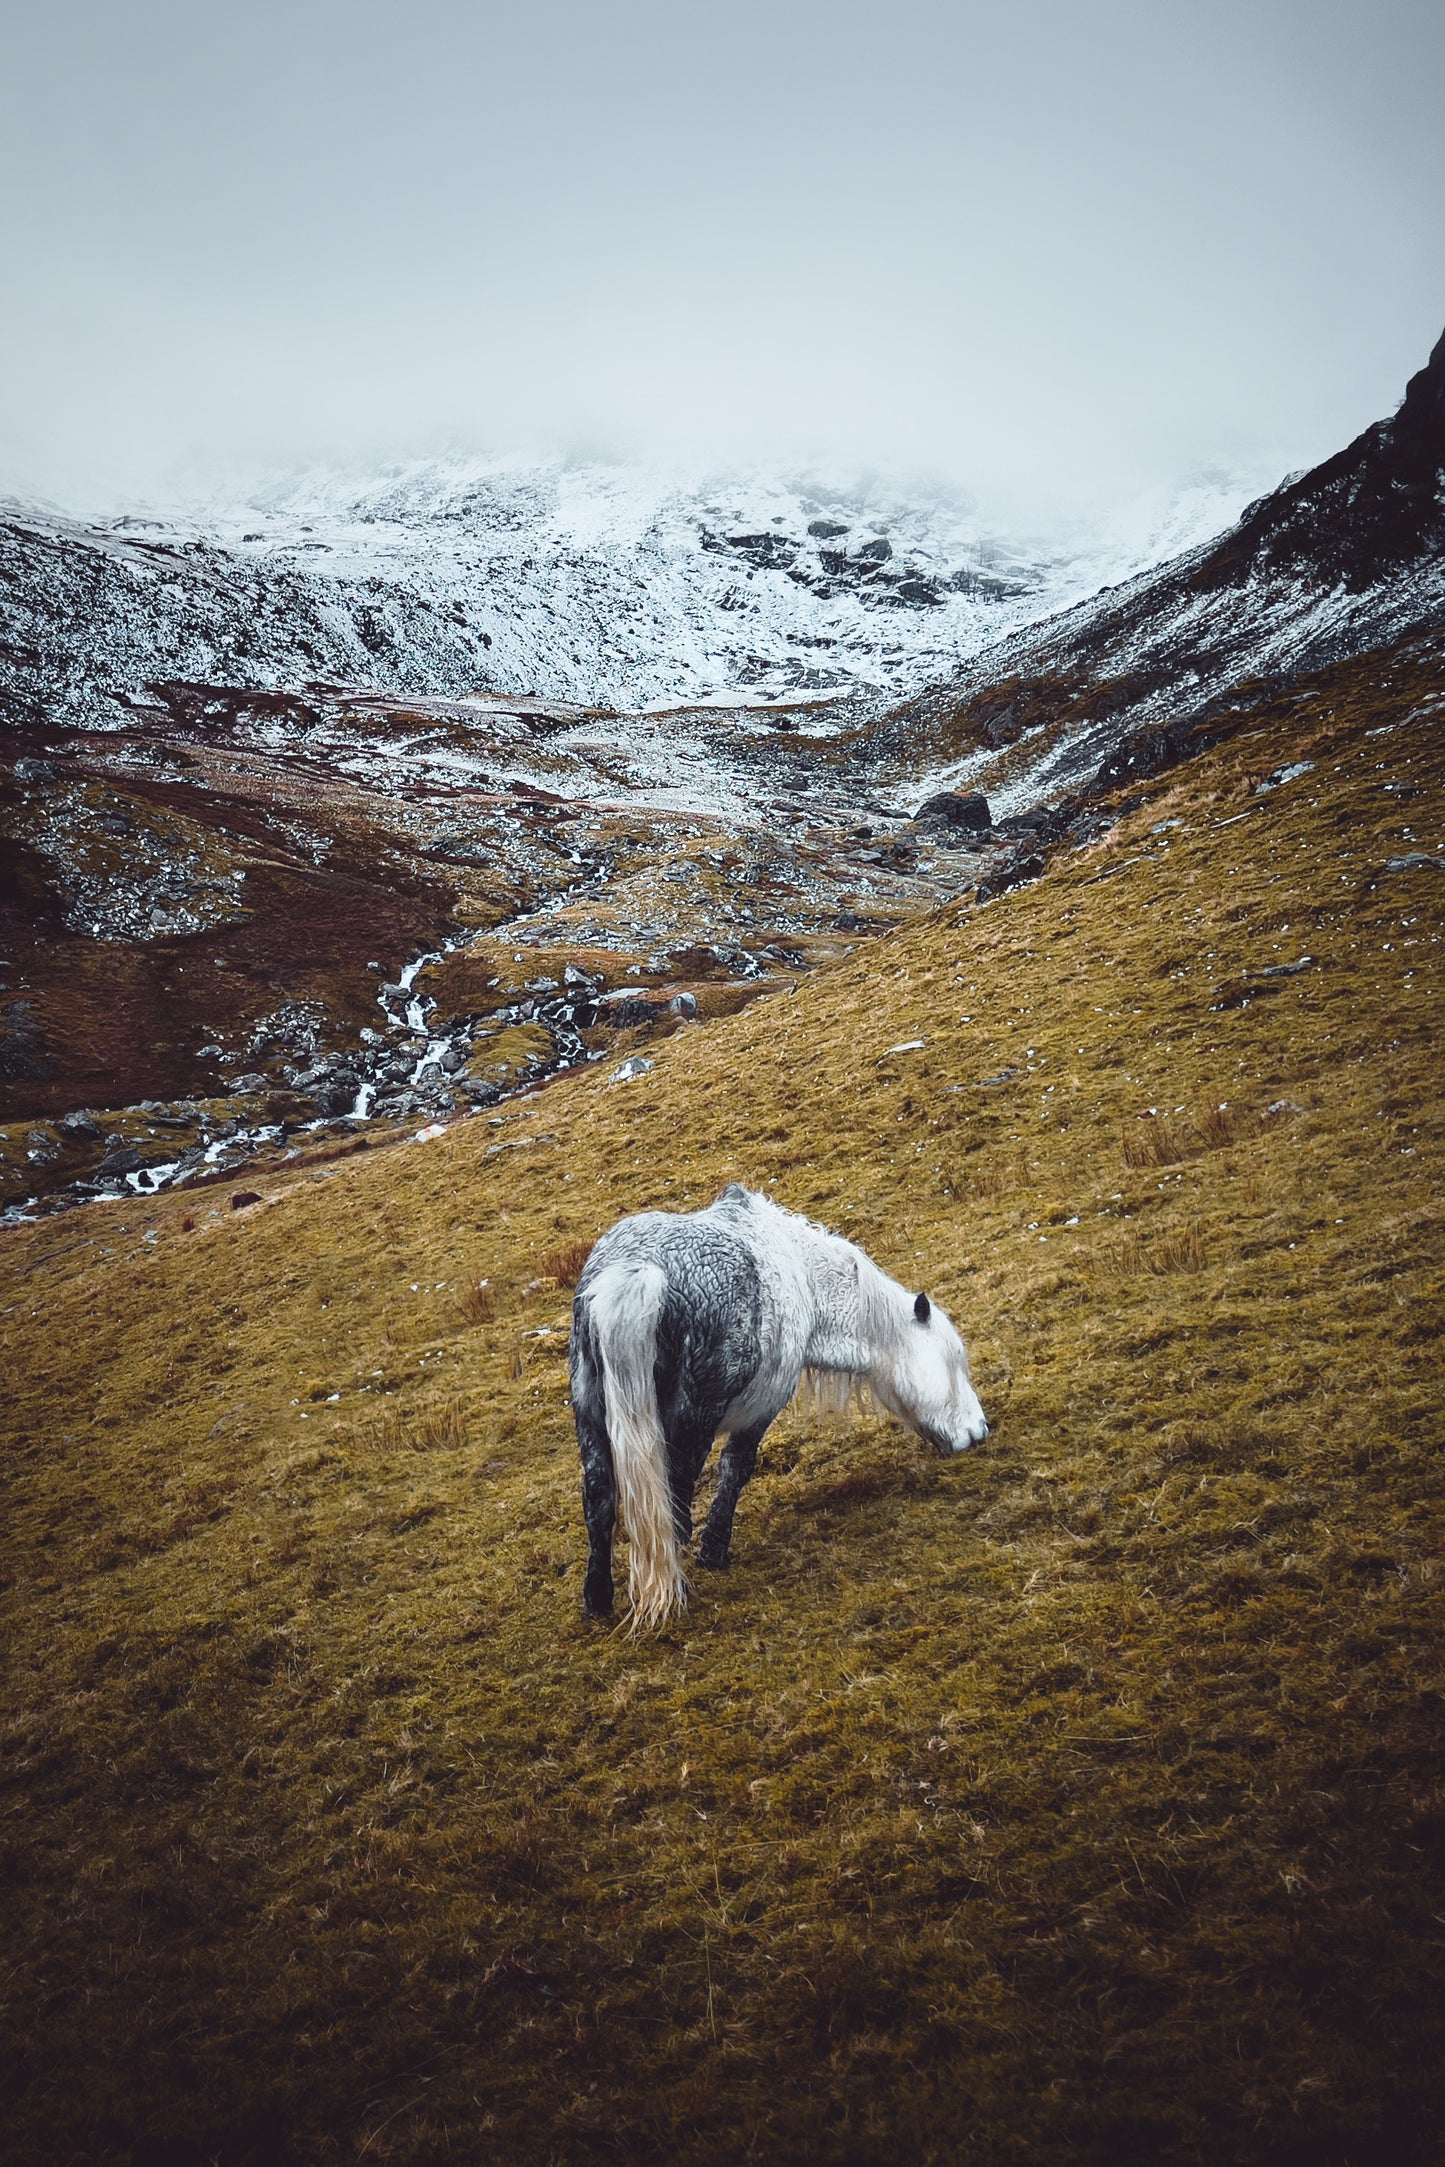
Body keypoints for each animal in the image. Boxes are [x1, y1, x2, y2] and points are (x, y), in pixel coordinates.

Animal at [569, 1182, 988, 1627]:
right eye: (954, 1360)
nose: (979, 1429)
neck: (803, 1274)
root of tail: (638, 1272)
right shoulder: (762, 1409)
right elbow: (736, 1470)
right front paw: (714, 1552)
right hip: (691, 1421)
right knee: (674, 1496)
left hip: (591, 1410)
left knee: (599, 1496)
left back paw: (598, 1599)